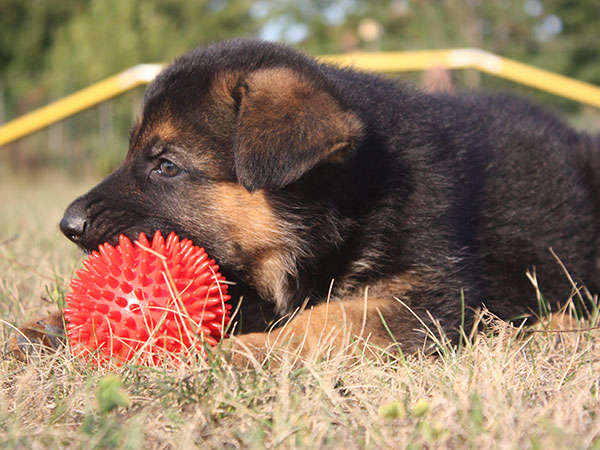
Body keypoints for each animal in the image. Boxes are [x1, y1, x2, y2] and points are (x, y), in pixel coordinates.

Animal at [11, 39, 600, 362]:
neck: (357, 196)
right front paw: (50, 326)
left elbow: (332, 320)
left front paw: (242, 354)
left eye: (167, 165)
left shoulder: (432, 295)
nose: (67, 224)